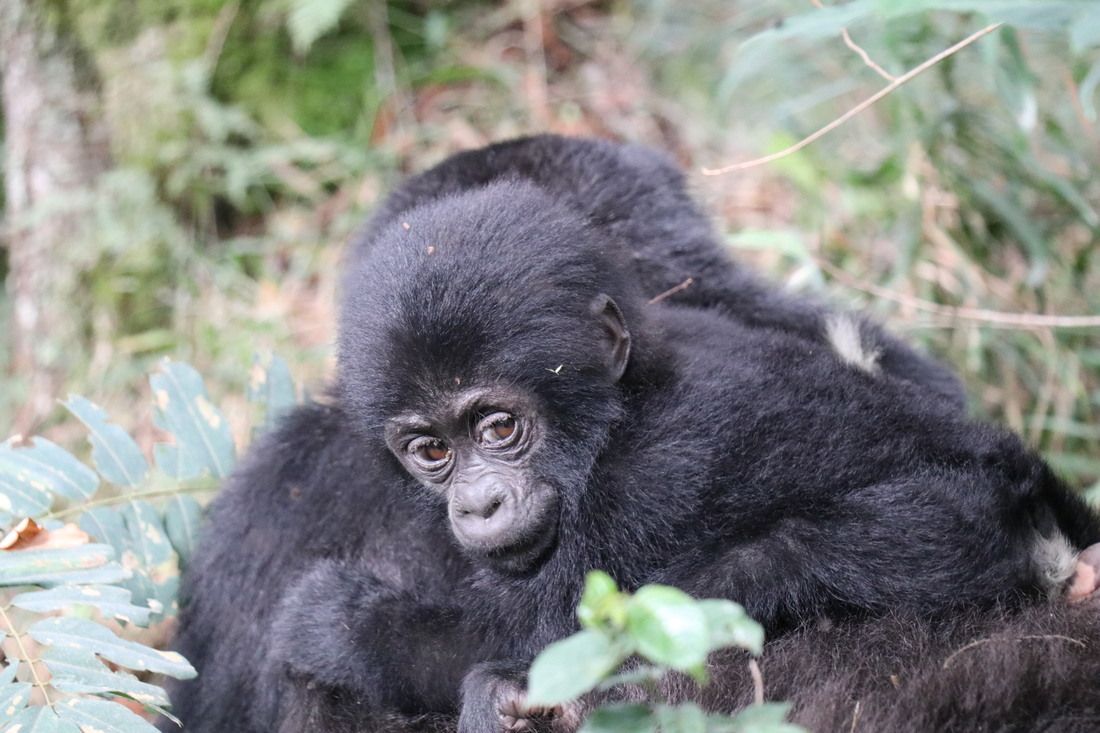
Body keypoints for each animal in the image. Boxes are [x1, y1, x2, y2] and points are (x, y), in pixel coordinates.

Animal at [272, 173, 1100, 726]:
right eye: (430, 450)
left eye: (499, 428)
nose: (479, 503)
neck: (622, 403)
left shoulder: (640, 484)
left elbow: (553, 638)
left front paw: (346, 628)